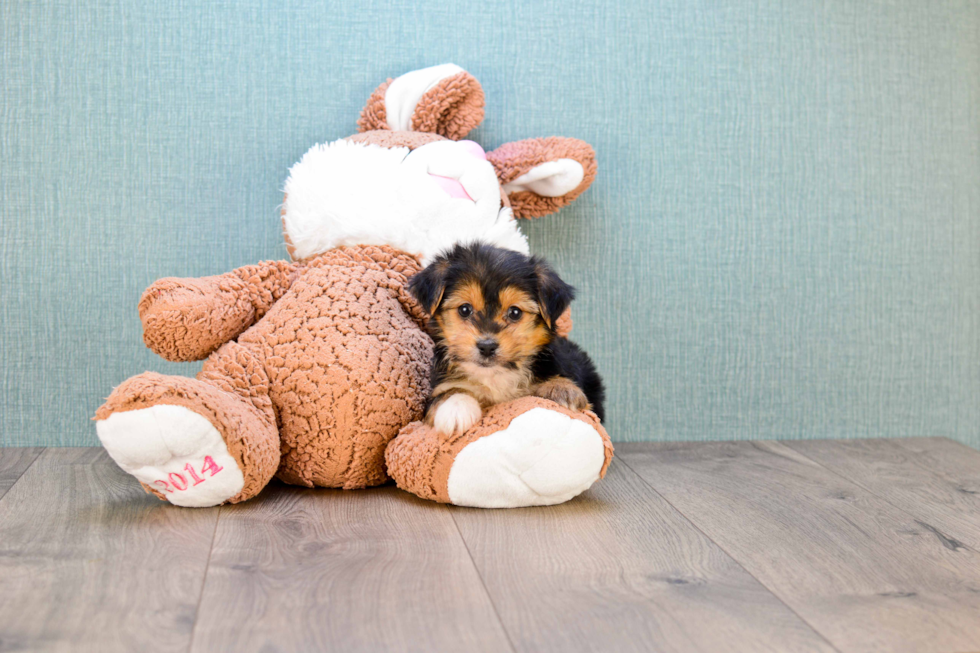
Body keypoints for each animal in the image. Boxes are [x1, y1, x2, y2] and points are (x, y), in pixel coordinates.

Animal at [406, 239, 604, 432]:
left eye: (515, 312)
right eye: (464, 309)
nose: (487, 346)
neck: (496, 374)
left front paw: (562, 389)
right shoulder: (439, 385)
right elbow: (448, 392)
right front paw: (455, 407)